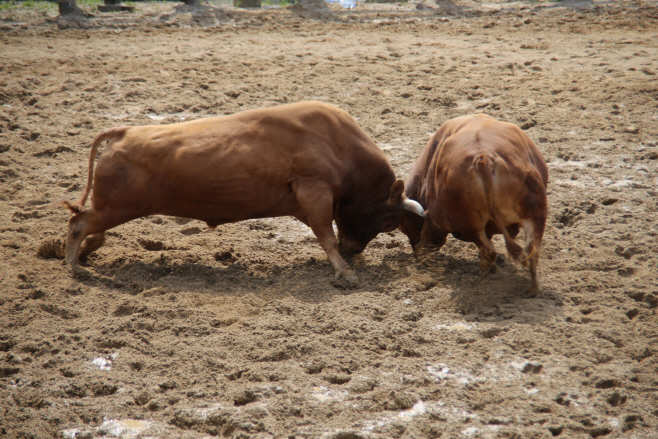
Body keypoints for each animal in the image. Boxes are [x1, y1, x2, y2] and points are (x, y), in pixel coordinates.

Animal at [59, 101, 422, 284]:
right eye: (390, 223)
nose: (354, 251)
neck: (340, 145)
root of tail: (124, 131)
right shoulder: (314, 191)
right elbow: (326, 236)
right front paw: (344, 270)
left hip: (114, 206)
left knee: (91, 226)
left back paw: (86, 252)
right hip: (117, 206)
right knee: (79, 224)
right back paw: (75, 262)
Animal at [398, 115, 544, 298]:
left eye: (405, 224)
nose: (413, 246)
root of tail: (484, 159)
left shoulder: (434, 221)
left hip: (465, 223)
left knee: (488, 252)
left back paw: (480, 284)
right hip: (535, 215)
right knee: (532, 251)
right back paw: (532, 289)